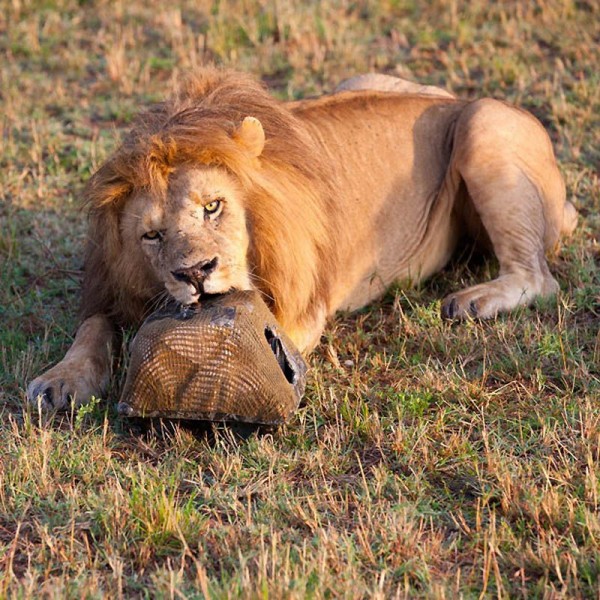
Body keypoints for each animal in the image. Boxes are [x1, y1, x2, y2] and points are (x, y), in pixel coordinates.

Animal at [27, 68, 576, 410]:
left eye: (213, 206)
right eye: (152, 235)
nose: (196, 274)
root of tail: (454, 98)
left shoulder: (303, 310)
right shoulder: (113, 284)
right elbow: (93, 329)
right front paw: (60, 380)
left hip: (483, 123)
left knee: (538, 276)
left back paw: (473, 302)